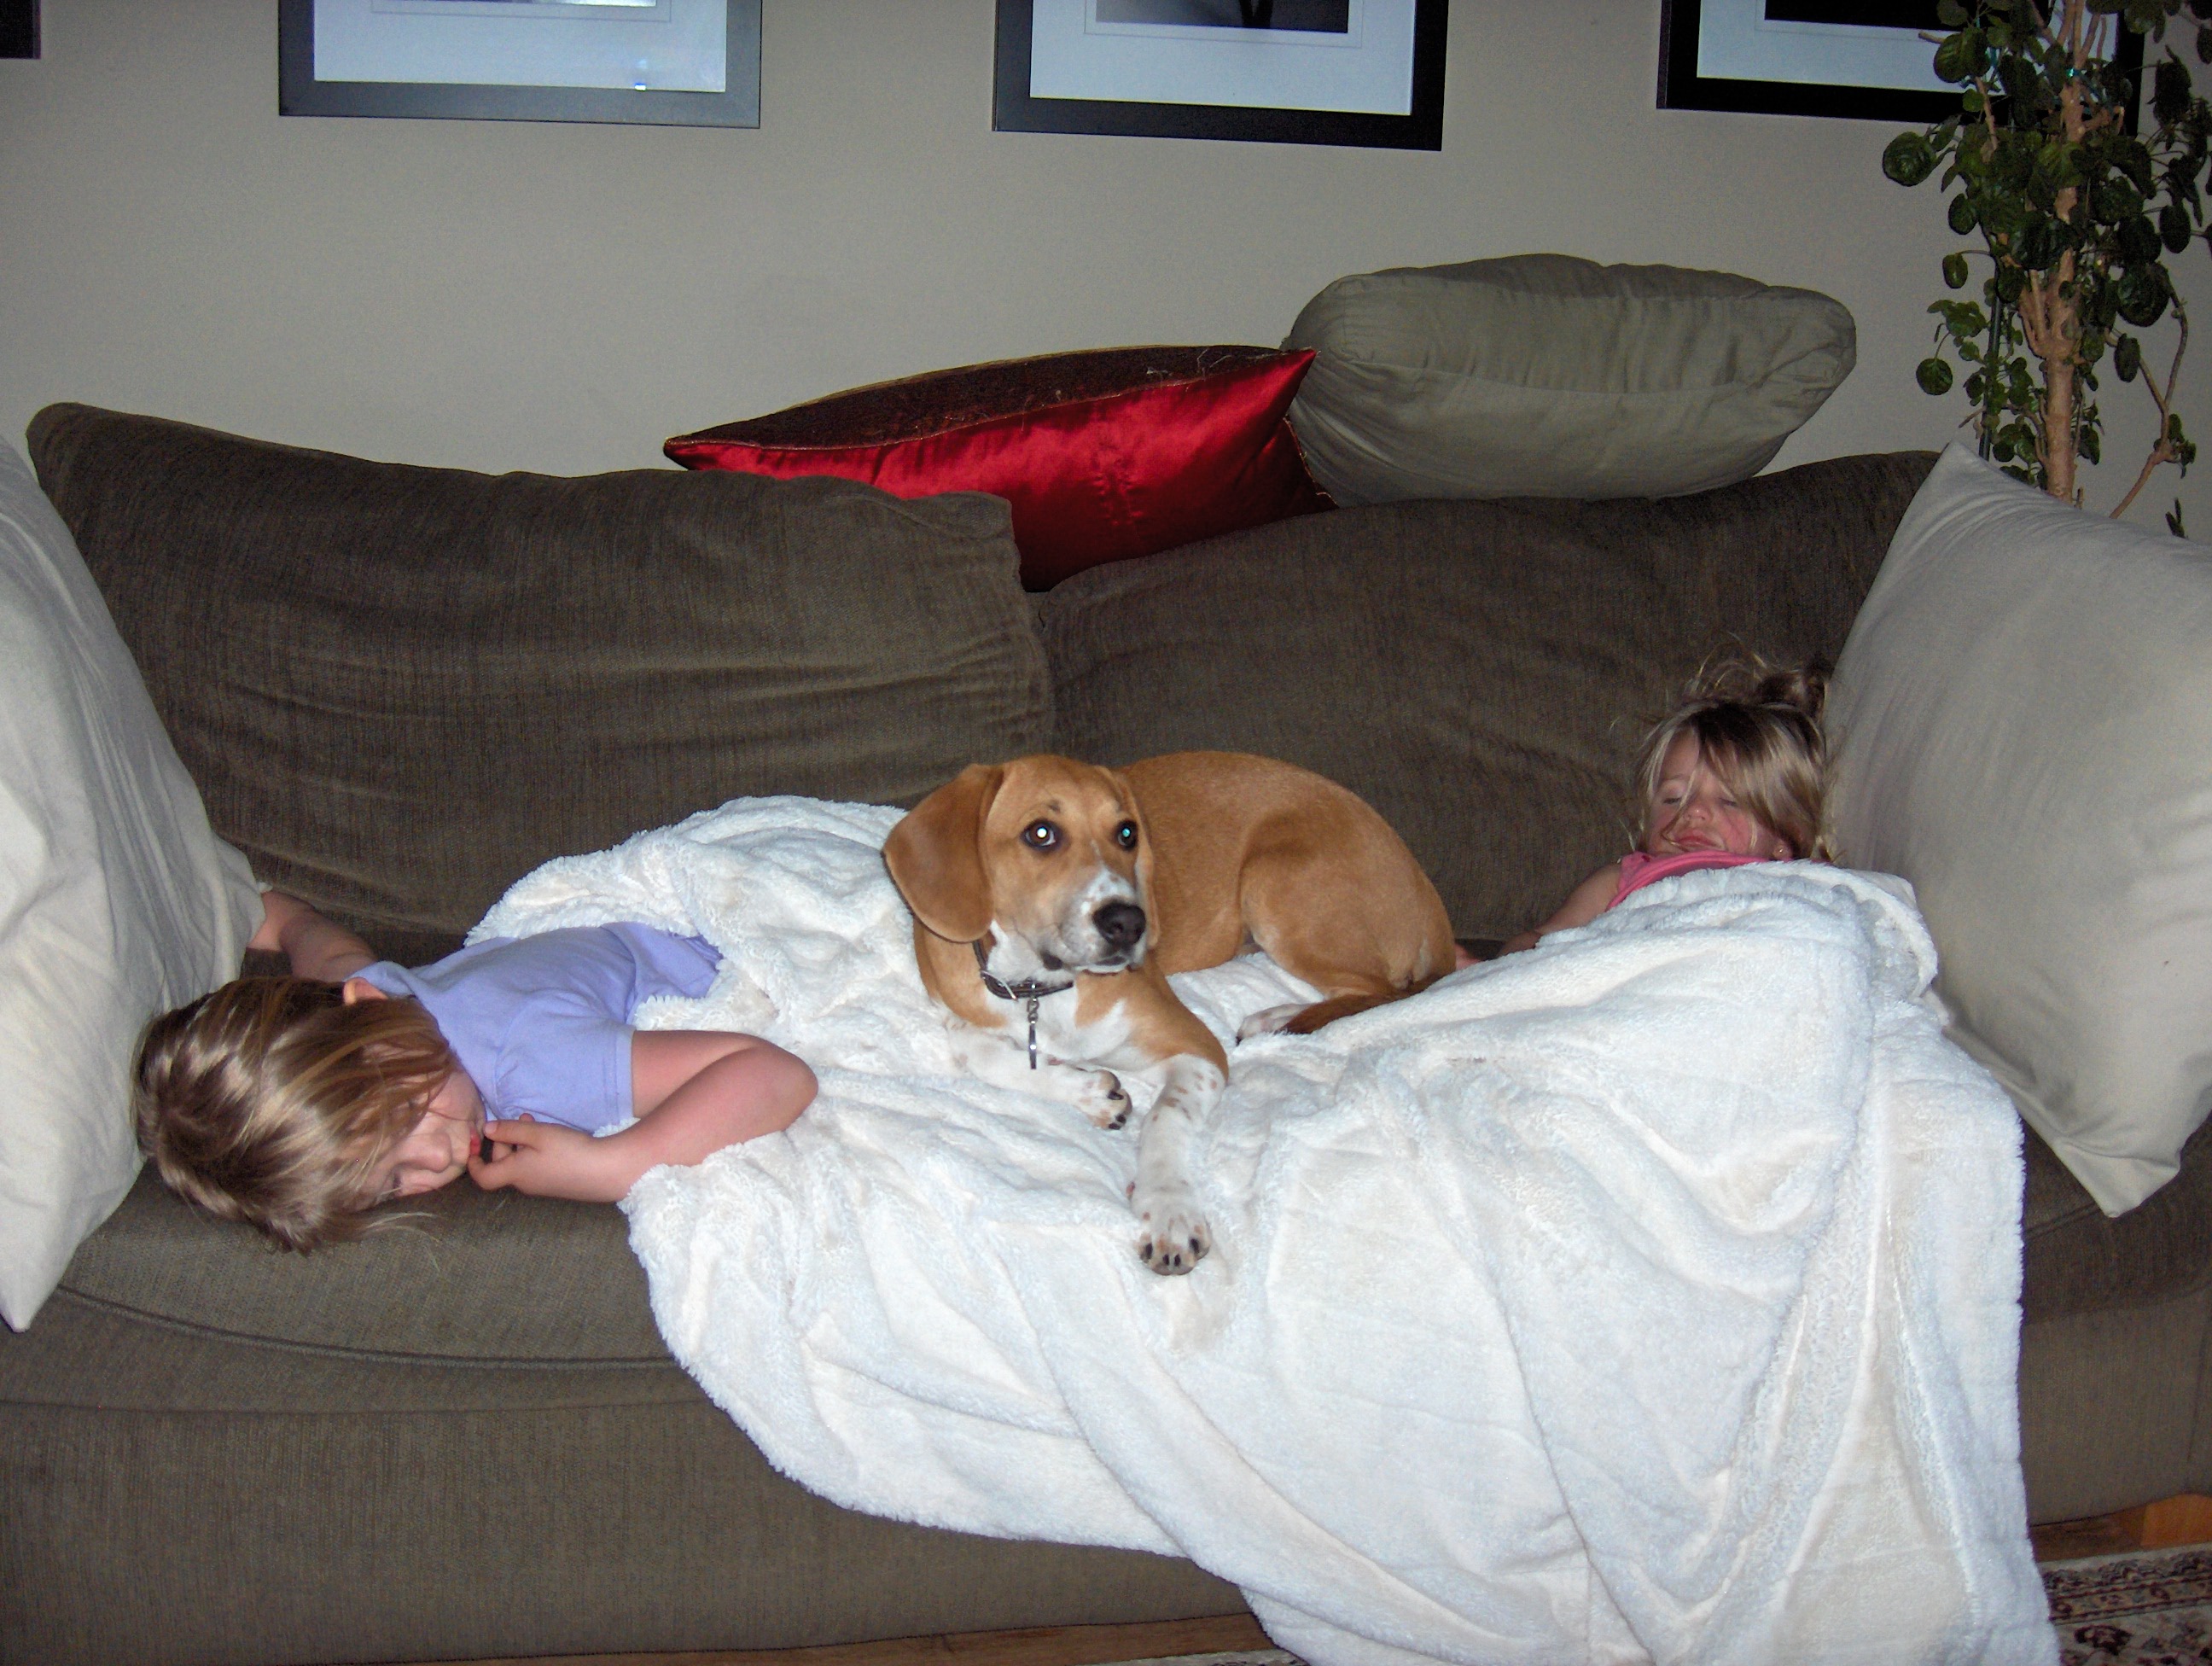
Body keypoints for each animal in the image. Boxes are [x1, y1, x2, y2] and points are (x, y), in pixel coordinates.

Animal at [882, 751, 1454, 1275]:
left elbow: (1165, 1119)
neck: (1042, 990)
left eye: (1127, 833)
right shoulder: (959, 1012)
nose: (1128, 923)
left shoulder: (1197, 1048)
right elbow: (983, 1056)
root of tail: (1423, 887)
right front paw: (1089, 1091)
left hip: (1276, 883)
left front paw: (1168, 1212)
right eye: (1040, 833)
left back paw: (1279, 1019)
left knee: (1382, 989)